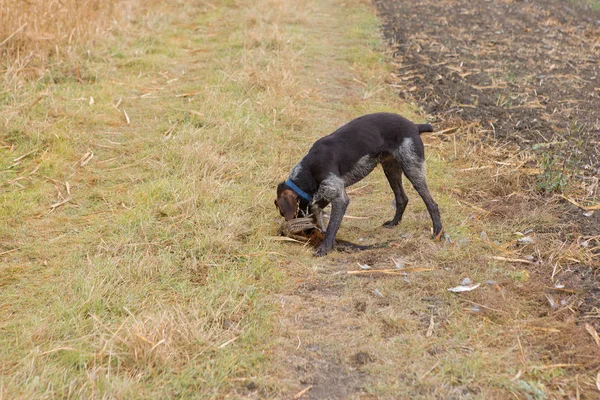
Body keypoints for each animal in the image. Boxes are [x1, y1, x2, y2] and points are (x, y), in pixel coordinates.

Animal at [276, 112, 440, 256]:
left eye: (284, 213)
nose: (286, 230)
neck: (309, 169)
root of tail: (414, 126)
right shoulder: (327, 192)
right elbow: (318, 212)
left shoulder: (339, 197)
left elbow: (332, 226)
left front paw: (325, 248)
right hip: (391, 168)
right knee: (402, 199)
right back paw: (394, 222)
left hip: (412, 168)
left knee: (432, 204)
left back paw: (438, 232)